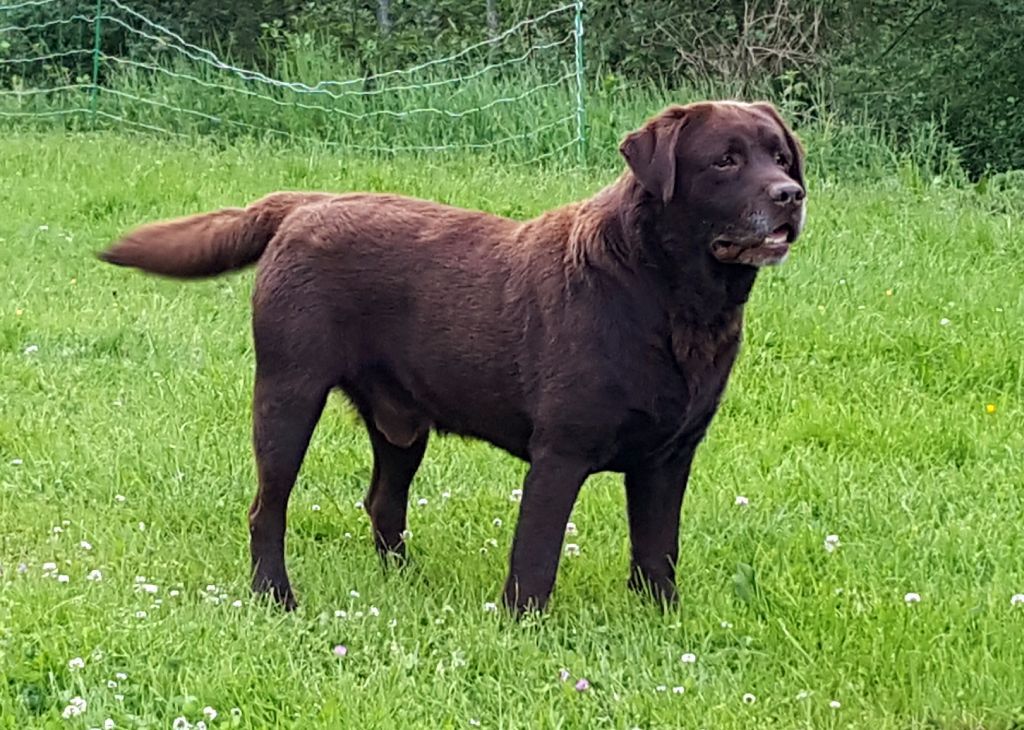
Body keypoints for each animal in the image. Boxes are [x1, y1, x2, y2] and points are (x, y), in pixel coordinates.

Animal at [101, 100, 806, 614]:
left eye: (780, 156)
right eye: (725, 161)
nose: (790, 194)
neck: (668, 297)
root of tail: (305, 203)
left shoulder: (669, 458)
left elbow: (658, 552)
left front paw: (662, 624)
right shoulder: (560, 454)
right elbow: (535, 559)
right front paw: (524, 630)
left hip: (400, 426)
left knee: (383, 502)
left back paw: (404, 581)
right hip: (287, 394)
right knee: (266, 508)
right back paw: (275, 596)